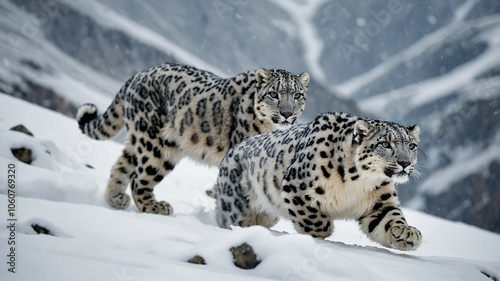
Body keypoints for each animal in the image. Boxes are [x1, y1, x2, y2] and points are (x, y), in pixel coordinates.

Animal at [76, 62, 308, 213]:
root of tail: (139, 74)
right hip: (156, 145)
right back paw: (154, 207)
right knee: (139, 179)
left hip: (140, 140)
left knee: (121, 167)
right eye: (274, 94)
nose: (287, 113)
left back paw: (116, 199)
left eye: (297, 95)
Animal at [215, 111, 422, 249]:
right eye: (385, 144)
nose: (405, 162)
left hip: (267, 215)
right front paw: (323, 231)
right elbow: (311, 217)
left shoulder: (380, 202)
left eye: (412, 146)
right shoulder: (296, 186)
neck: (359, 182)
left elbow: (389, 218)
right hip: (236, 206)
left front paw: (408, 234)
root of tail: (232, 151)